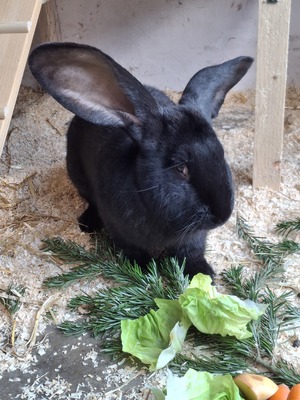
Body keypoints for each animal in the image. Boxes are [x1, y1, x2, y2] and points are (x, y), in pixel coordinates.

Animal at [28, 42, 253, 276]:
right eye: (181, 168)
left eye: (221, 152)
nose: (222, 215)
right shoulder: (121, 232)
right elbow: (134, 251)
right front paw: (144, 269)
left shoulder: (193, 238)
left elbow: (191, 252)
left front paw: (203, 273)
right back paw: (87, 224)